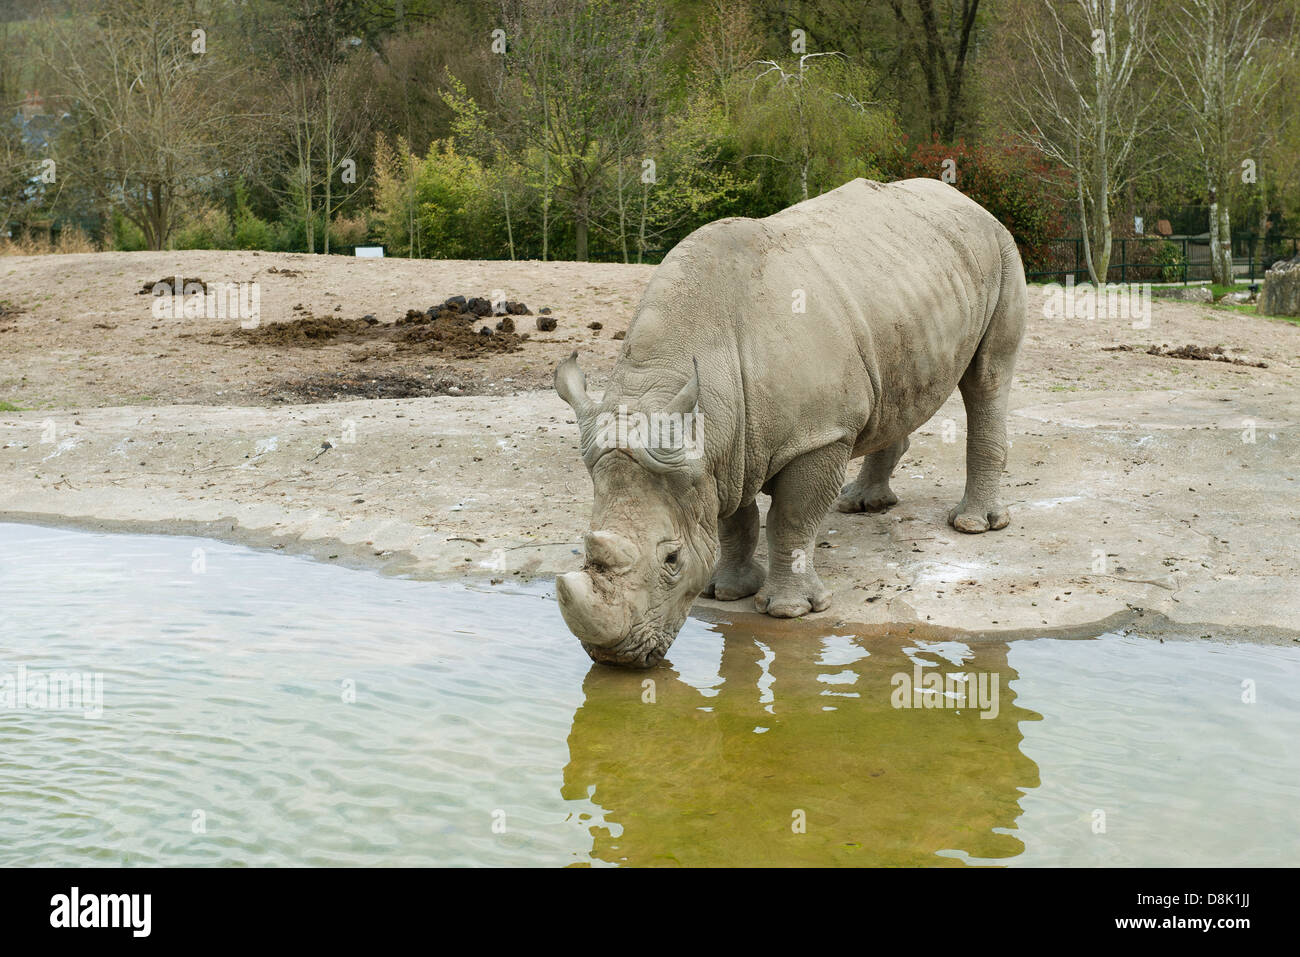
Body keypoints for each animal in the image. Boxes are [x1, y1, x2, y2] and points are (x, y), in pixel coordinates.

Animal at [554, 177, 1027, 668]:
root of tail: (966, 200)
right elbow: (734, 521)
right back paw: (861, 503)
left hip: (1000, 249)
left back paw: (972, 525)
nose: (615, 658)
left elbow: (792, 518)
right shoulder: (725, 447)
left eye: (672, 560)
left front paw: (789, 610)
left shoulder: (819, 435)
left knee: (987, 378)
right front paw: (726, 592)